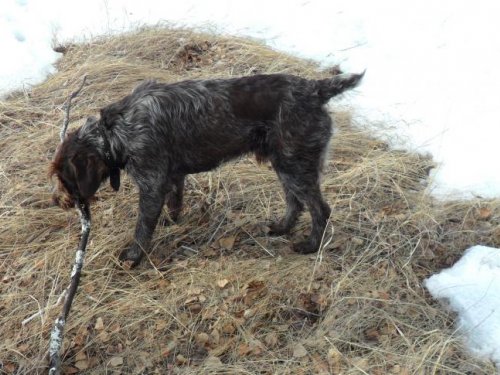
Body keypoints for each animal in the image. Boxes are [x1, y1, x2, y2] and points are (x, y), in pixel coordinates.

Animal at [50, 72, 364, 268]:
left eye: (63, 179)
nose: (55, 201)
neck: (114, 132)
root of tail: (315, 89)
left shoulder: (151, 184)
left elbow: (143, 227)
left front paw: (133, 256)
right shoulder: (173, 177)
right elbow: (174, 203)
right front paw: (173, 223)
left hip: (295, 165)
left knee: (320, 209)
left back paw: (311, 245)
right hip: (285, 163)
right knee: (295, 202)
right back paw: (281, 228)